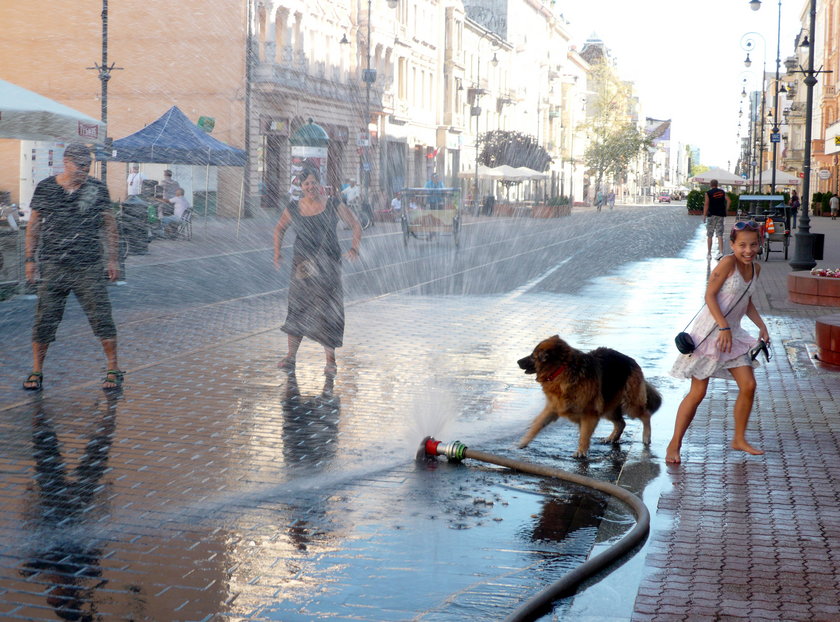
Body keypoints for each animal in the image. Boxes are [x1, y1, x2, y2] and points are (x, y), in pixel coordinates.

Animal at [516, 336, 660, 458]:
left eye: (533, 357)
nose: (517, 361)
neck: (562, 369)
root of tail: (632, 361)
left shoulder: (589, 414)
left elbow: (584, 435)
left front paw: (581, 452)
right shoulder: (553, 408)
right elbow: (537, 425)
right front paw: (523, 442)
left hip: (630, 405)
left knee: (645, 415)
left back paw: (646, 437)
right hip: (608, 406)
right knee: (621, 423)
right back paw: (612, 438)